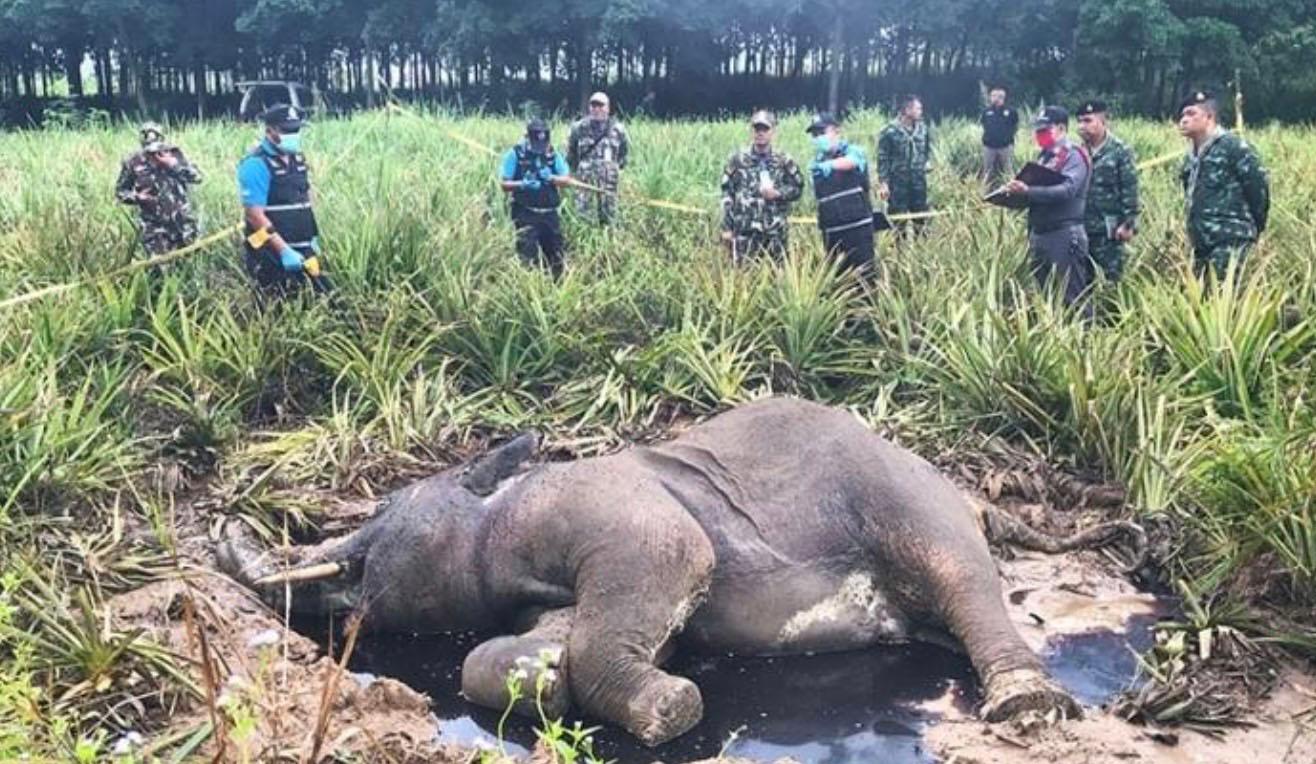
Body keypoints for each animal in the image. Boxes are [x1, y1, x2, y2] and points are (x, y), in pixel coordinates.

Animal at [220, 397, 1144, 746]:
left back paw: (1027, 709)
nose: (230, 525)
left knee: (961, 576)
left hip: (906, 494)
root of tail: (977, 495)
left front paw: (673, 713)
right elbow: (510, 652)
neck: (493, 498)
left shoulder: (603, 506)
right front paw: (542, 677)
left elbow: (670, 553)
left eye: (381, 512)